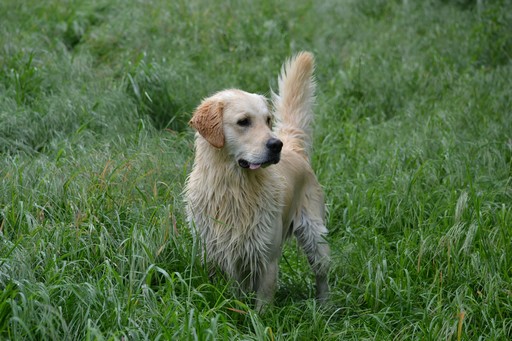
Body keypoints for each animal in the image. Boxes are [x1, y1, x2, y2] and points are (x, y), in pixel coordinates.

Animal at [186, 51, 330, 310]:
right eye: (243, 121)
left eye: (268, 120)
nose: (276, 145)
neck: (234, 187)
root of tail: (293, 146)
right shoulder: (211, 252)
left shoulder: (266, 257)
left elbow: (262, 307)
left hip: (315, 235)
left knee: (322, 274)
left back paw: (326, 308)